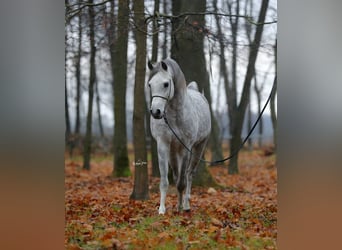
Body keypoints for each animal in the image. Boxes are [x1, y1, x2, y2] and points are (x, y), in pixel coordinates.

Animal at [147, 58, 211, 215]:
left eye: (166, 84)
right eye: (150, 84)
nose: (156, 112)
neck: (175, 115)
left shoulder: (186, 147)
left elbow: (182, 182)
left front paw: (182, 207)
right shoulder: (163, 145)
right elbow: (166, 181)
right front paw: (162, 209)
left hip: (198, 148)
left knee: (189, 174)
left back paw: (186, 204)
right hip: (173, 151)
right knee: (177, 176)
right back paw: (179, 204)